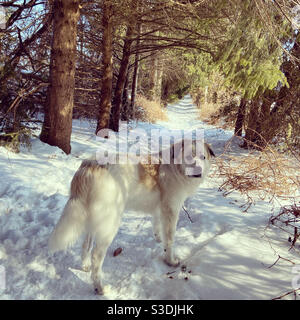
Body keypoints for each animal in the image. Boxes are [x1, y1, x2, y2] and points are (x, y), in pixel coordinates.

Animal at [48, 140, 214, 296]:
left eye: (203, 157)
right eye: (189, 156)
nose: (199, 170)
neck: (175, 168)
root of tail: (89, 166)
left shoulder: (160, 210)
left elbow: (157, 226)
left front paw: (158, 239)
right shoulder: (171, 211)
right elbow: (170, 240)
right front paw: (170, 261)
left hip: (94, 221)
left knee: (86, 245)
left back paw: (85, 266)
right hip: (110, 224)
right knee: (96, 256)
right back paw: (99, 288)